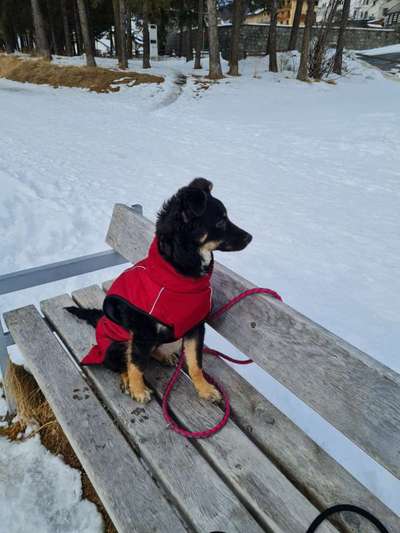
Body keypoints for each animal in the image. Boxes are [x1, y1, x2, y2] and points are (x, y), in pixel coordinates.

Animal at [67, 177, 252, 402]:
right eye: (220, 221)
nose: (250, 237)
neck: (179, 275)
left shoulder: (195, 327)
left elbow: (195, 363)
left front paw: (205, 389)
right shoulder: (142, 331)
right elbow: (136, 364)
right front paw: (138, 389)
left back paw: (162, 356)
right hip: (114, 345)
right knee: (119, 363)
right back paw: (128, 381)